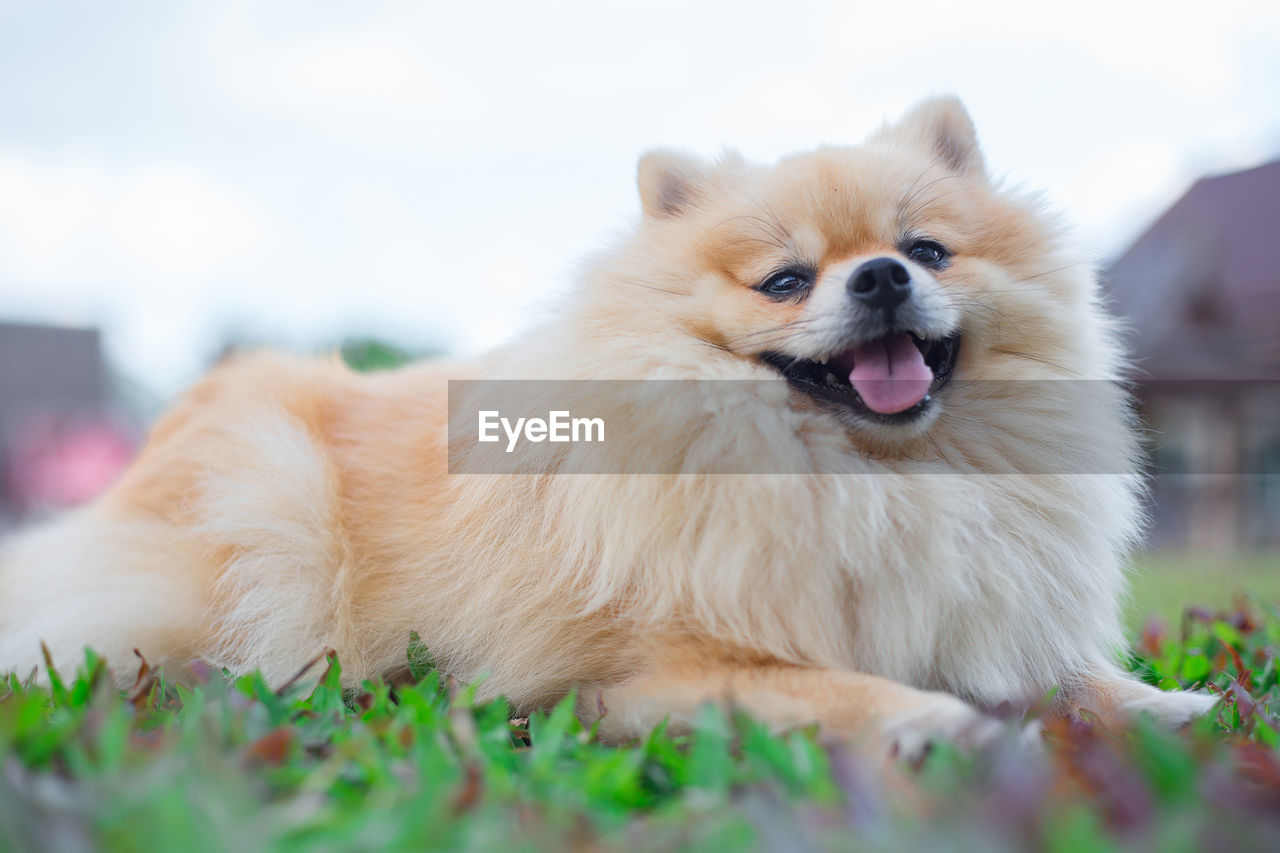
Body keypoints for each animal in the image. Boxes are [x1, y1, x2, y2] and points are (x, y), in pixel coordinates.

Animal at [0, 99, 1213, 758]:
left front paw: (1176, 704)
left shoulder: (979, 615)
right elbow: (826, 684)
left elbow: (1075, 678)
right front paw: (931, 719)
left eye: (926, 252)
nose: (877, 277)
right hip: (271, 522)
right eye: (783, 280)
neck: (882, 475)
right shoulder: (646, 673)